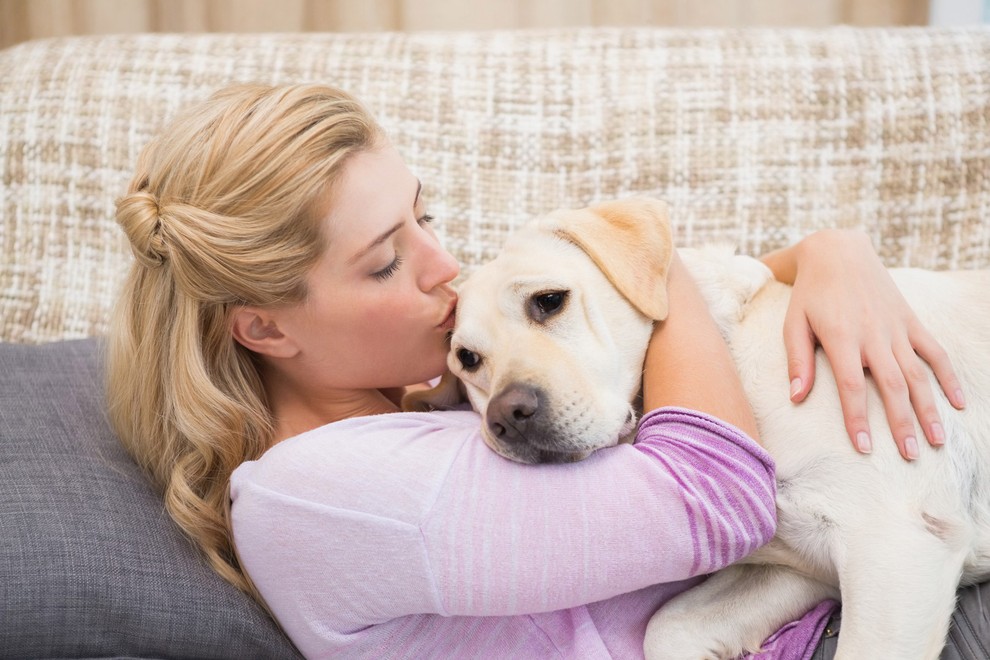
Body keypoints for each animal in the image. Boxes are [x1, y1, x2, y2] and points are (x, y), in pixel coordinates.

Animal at [402, 197, 990, 660]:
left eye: (548, 301)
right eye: (467, 359)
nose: (507, 417)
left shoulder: (898, 543)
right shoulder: (802, 568)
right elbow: (667, 628)